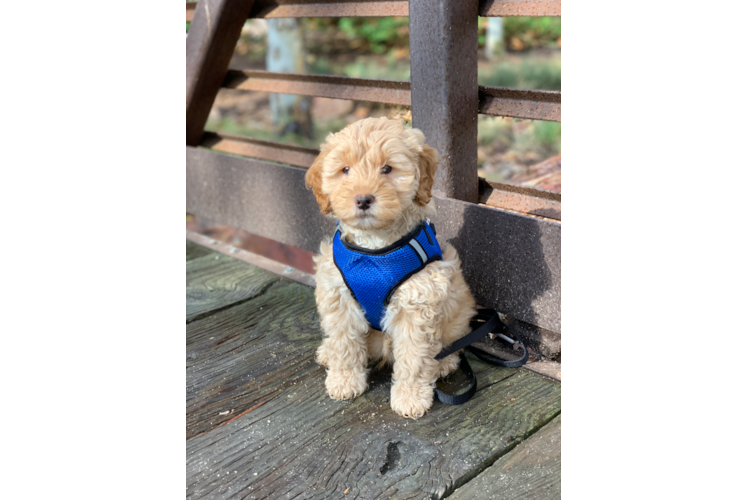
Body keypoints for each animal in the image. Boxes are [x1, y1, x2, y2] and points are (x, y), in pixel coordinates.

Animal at [306, 117, 476, 418]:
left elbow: (414, 356)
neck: (374, 249)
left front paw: (410, 397)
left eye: (387, 168)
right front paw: (345, 380)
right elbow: (344, 342)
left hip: (456, 320)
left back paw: (442, 364)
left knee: (448, 347)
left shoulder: (417, 303)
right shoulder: (338, 295)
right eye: (345, 170)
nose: (363, 199)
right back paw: (328, 352)